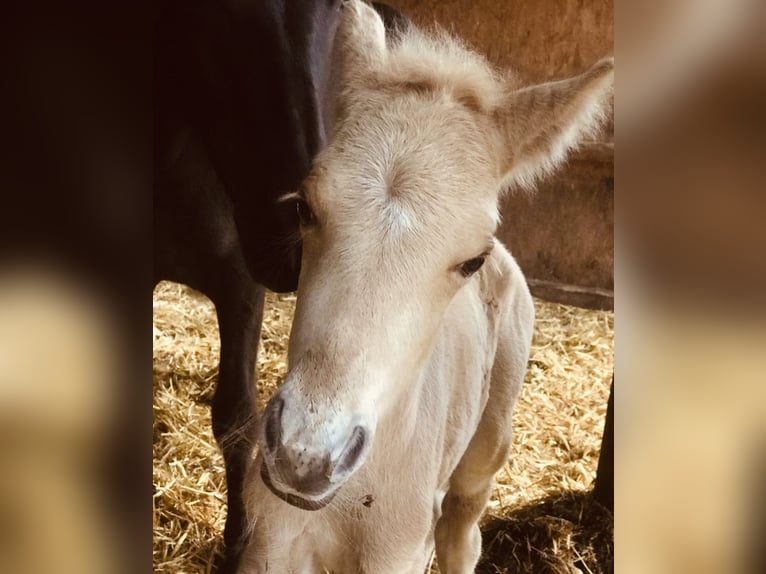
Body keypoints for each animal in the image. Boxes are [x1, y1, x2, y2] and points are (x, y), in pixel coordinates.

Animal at [240, 2, 612, 572]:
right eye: (304, 206)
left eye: (471, 260)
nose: (305, 455)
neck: (349, 502)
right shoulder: (268, 548)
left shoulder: (399, 554)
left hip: (487, 447)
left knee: (462, 529)